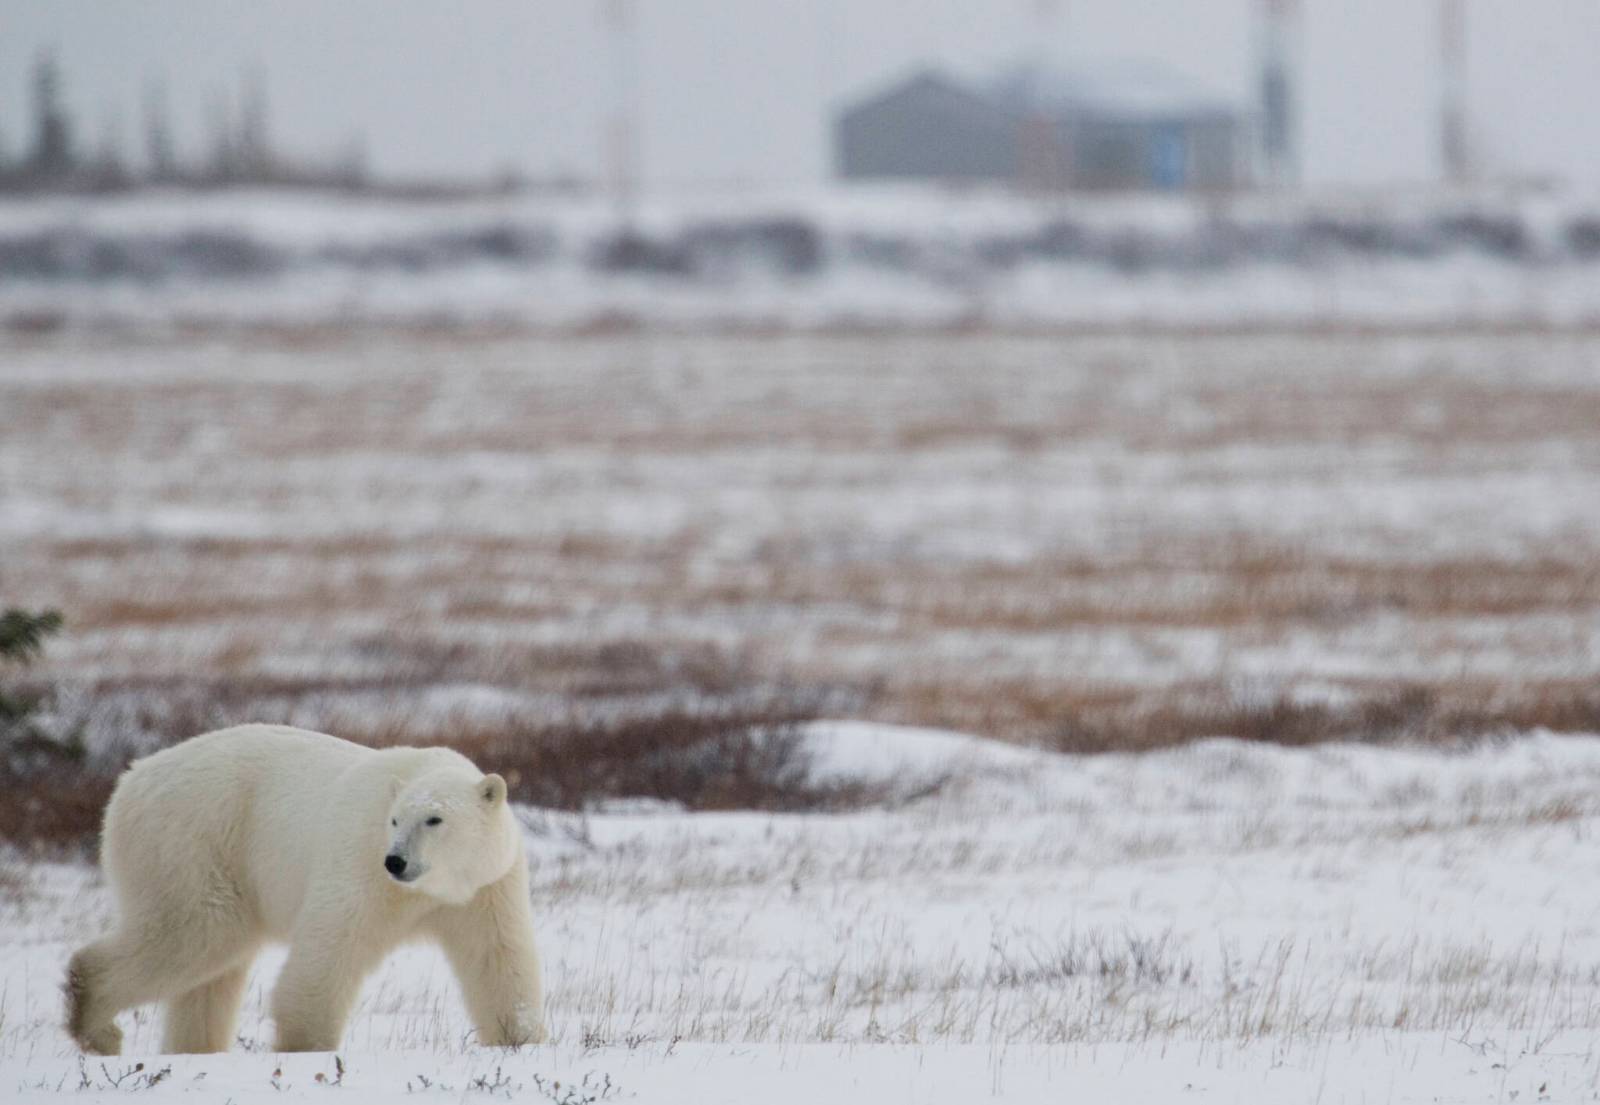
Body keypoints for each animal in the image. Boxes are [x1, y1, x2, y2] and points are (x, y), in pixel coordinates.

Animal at [65, 724, 546, 1055]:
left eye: (434, 819)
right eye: (394, 820)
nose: (396, 861)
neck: (432, 889)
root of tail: (130, 779)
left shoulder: (487, 886)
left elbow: (496, 957)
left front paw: (521, 1039)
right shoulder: (359, 864)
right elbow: (330, 947)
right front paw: (306, 1047)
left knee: (212, 972)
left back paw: (194, 1049)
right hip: (193, 841)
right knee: (195, 932)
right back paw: (98, 1026)